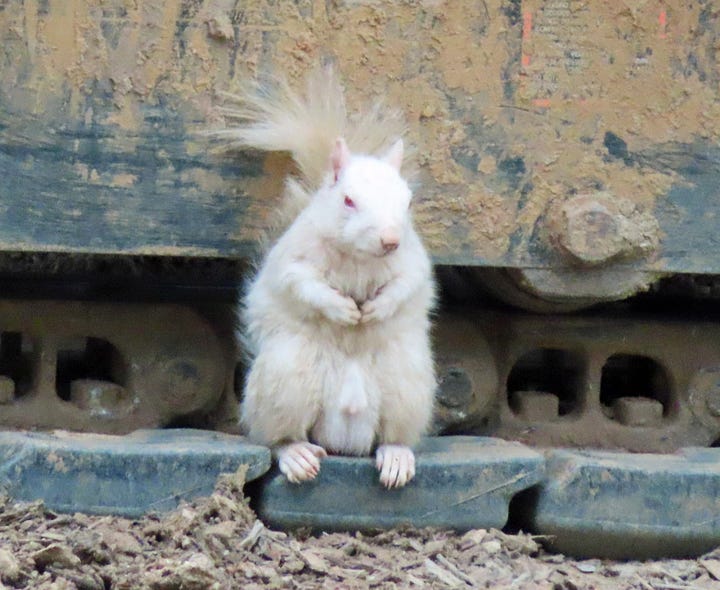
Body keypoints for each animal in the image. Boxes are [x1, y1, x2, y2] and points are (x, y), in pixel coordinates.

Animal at [217, 66, 436, 490]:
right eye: (348, 200)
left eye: (408, 202)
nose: (390, 240)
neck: (359, 259)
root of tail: (344, 435)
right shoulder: (292, 260)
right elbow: (303, 285)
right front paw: (343, 310)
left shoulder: (413, 262)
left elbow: (408, 285)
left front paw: (378, 308)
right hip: (286, 379)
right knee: (278, 437)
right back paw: (297, 455)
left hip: (408, 387)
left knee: (392, 435)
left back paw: (396, 456)